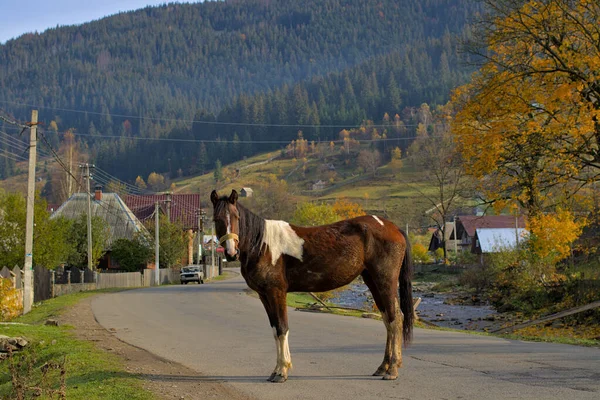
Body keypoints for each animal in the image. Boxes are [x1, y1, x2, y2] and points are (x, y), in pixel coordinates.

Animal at [211, 189, 412, 382]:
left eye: (236, 216)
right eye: (216, 219)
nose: (231, 252)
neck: (262, 245)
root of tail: (393, 228)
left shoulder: (276, 292)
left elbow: (282, 328)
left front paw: (282, 372)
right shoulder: (264, 295)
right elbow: (275, 329)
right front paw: (276, 370)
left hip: (385, 281)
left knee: (395, 319)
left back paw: (392, 370)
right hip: (372, 281)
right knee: (388, 319)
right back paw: (383, 367)